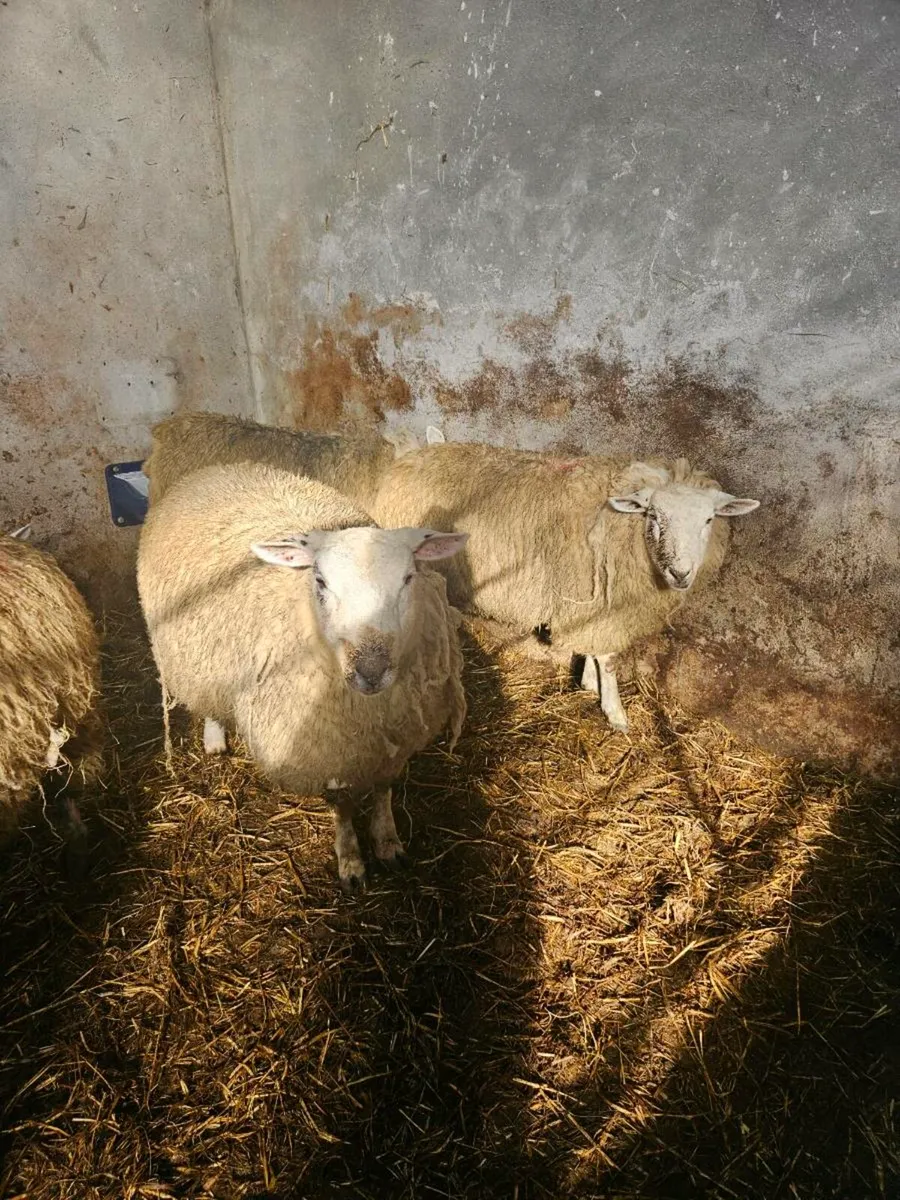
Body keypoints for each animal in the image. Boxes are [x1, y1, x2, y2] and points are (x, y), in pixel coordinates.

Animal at [136, 461, 468, 892]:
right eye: (321, 581)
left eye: (408, 579)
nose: (370, 672)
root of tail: (219, 468)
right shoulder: (324, 748)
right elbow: (342, 806)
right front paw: (350, 861)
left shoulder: (392, 740)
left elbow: (383, 789)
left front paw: (387, 842)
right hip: (192, 654)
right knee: (208, 699)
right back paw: (214, 739)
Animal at [372, 443, 760, 732]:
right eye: (653, 517)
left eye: (708, 519)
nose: (680, 573)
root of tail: (405, 461)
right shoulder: (602, 602)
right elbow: (609, 659)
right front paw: (615, 712)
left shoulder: (589, 600)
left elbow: (591, 646)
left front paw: (587, 680)